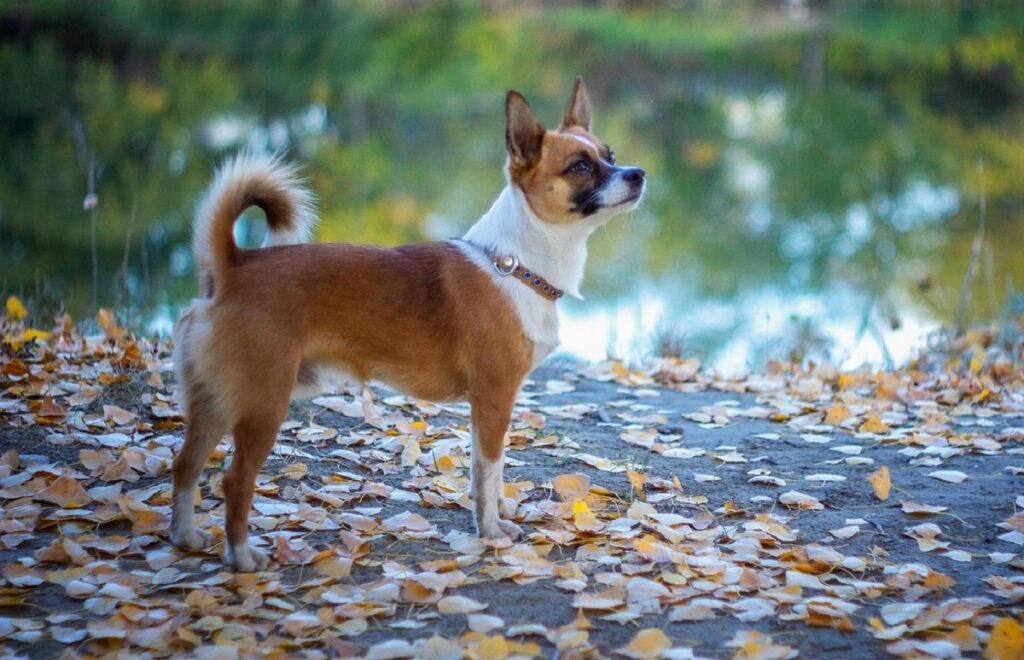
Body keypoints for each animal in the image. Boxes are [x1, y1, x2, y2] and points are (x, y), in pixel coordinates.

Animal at [171, 78, 643, 573]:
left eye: (610, 154)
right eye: (580, 166)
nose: (637, 174)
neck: (515, 265)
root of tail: (232, 267)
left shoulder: (489, 406)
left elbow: (488, 472)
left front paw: (494, 514)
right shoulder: (494, 398)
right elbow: (489, 469)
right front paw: (491, 532)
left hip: (213, 403)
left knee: (184, 467)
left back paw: (185, 536)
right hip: (262, 406)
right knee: (235, 480)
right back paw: (242, 556)